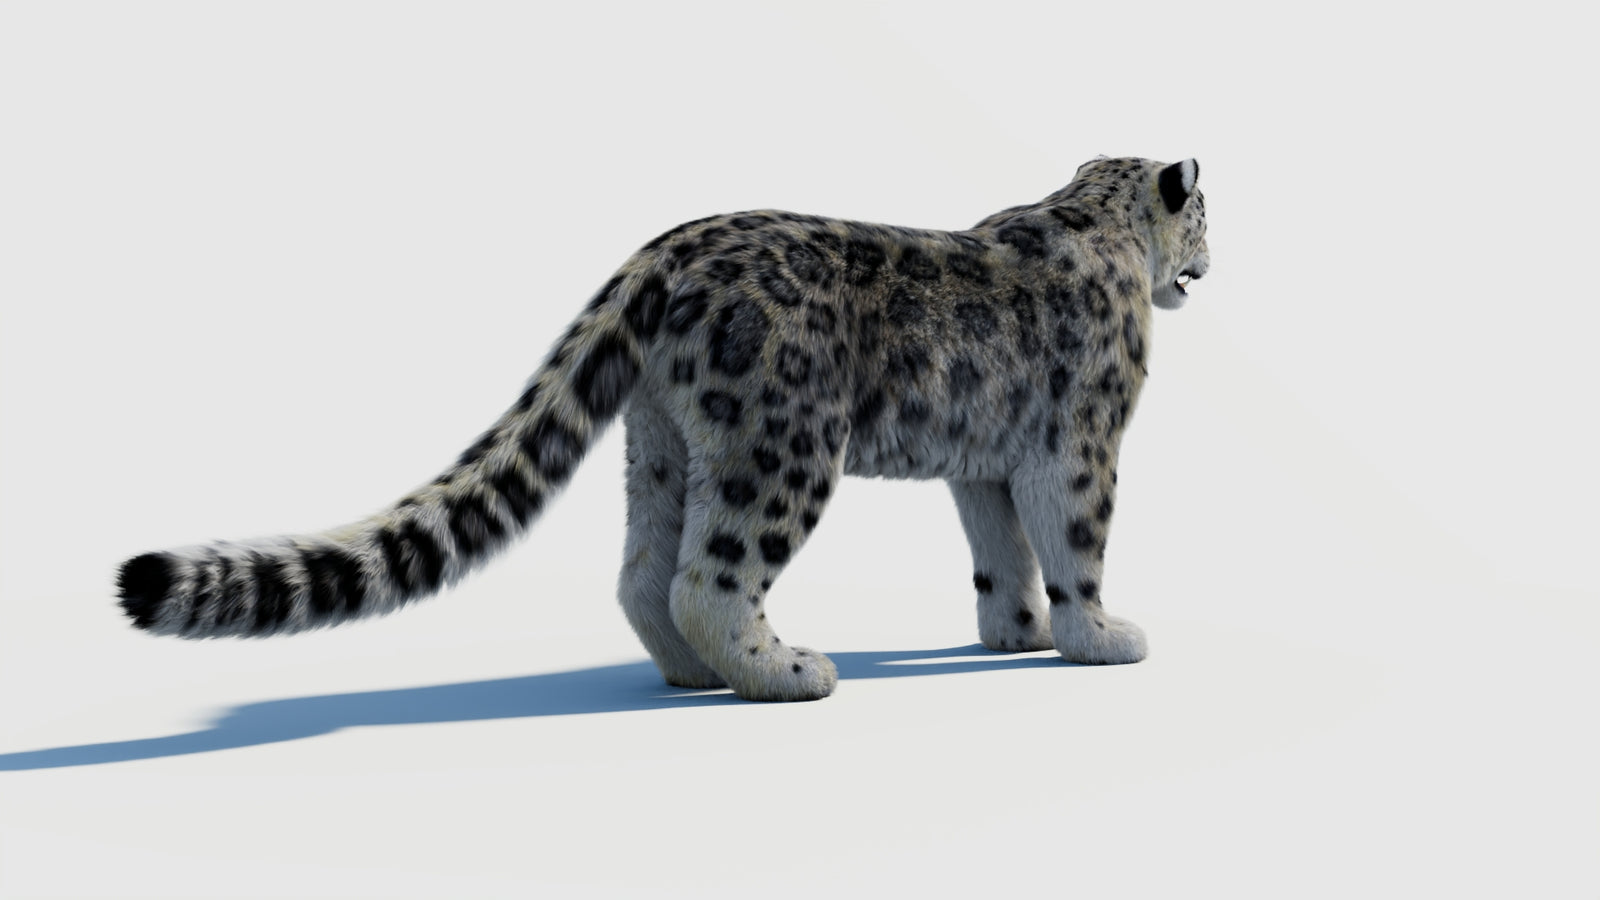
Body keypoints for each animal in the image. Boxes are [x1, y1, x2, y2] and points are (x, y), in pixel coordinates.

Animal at [116, 155, 1210, 702]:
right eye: (1206, 214)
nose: (1212, 259)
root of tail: (664, 250)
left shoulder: (981, 464)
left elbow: (1000, 550)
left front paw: (1016, 633)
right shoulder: (1083, 443)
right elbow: (1072, 542)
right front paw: (1101, 637)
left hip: (668, 445)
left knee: (645, 571)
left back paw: (689, 675)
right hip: (782, 446)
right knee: (710, 576)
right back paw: (785, 672)